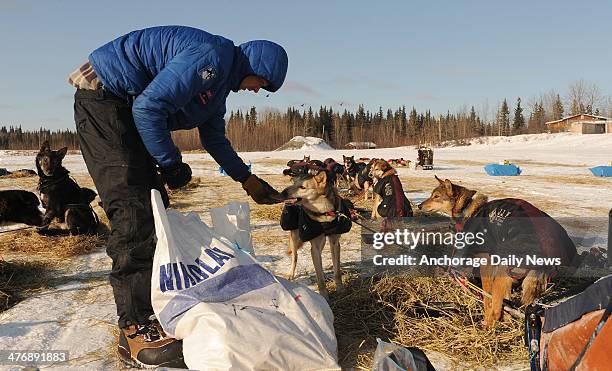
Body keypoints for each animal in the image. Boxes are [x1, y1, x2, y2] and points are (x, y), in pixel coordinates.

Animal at [418, 177, 576, 328]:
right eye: (432, 195)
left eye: (436, 196)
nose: (419, 205)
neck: (468, 207)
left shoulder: (486, 264)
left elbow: (487, 298)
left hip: (502, 274)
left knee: (495, 308)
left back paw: (487, 325)